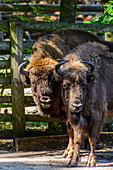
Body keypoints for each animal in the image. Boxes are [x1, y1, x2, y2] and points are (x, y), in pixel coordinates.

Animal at [19, 28, 113, 159]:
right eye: (33, 82)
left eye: (53, 80)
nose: (45, 100)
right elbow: (70, 130)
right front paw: (69, 151)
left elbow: (71, 129)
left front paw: (70, 152)